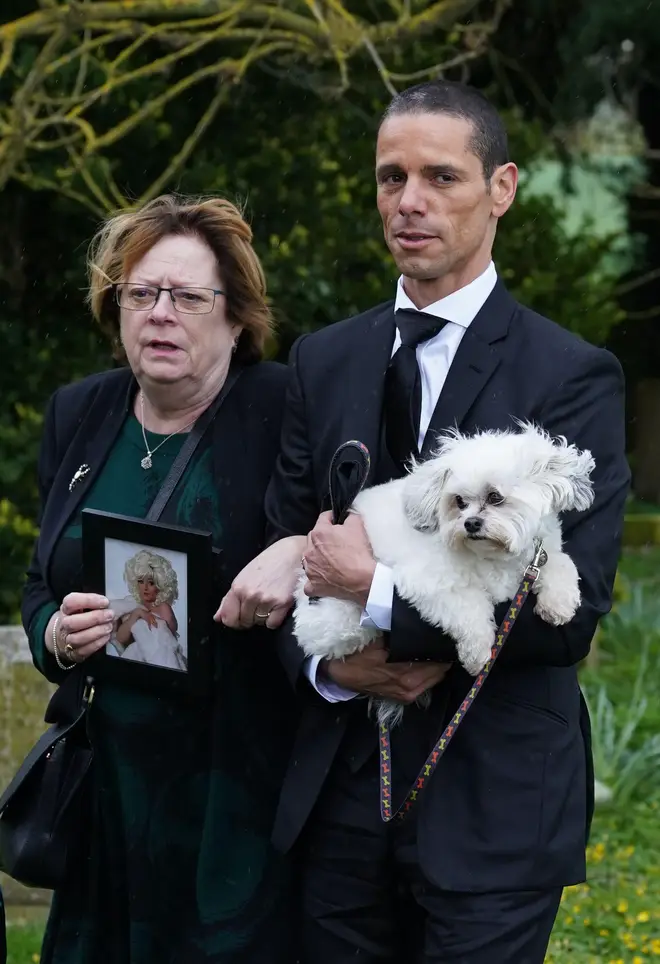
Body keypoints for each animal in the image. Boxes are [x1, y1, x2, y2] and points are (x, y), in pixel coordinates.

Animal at [292, 422, 592, 724]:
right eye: (458, 501)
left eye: (495, 497)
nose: (471, 523)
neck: (494, 556)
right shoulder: (426, 581)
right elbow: (470, 605)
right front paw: (477, 652)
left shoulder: (540, 554)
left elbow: (562, 563)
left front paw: (559, 604)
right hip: (343, 622)